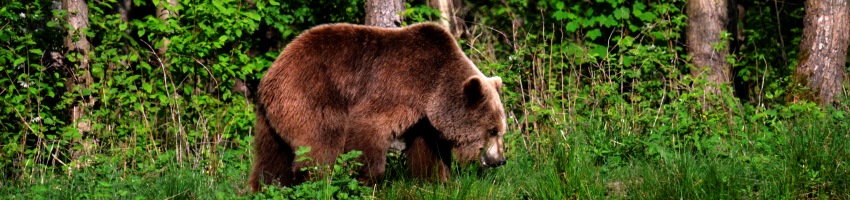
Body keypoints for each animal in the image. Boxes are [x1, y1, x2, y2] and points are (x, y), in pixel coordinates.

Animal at [248, 22, 506, 191]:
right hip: (310, 95)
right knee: (321, 142)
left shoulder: (425, 119)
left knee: (272, 156)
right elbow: (369, 126)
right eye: (492, 130)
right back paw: (317, 184)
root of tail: (271, 73)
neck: (434, 88)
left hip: (271, 118)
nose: (501, 160)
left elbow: (427, 150)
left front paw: (438, 181)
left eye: (502, 130)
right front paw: (367, 179)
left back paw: (266, 187)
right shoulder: (398, 84)